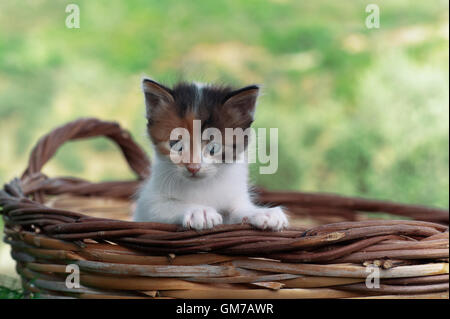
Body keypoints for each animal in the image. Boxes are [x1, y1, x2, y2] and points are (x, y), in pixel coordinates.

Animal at [134, 79, 288, 231]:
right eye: (175, 144)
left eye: (214, 147)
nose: (193, 167)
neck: (202, 185)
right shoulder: (146, 204)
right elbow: (164, 205)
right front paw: (199, 211)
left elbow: (238, 210)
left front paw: (263, 213)